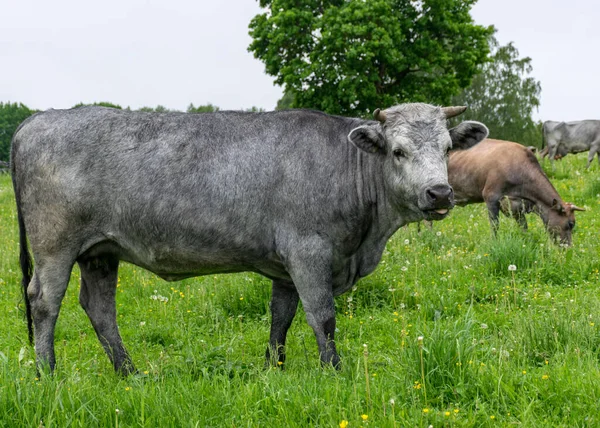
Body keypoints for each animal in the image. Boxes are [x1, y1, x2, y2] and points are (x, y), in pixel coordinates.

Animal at [11, 102, 488, 372]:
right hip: (55, 247)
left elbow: (281, 317)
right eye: (398, 151)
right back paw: (47, 373)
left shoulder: (286, 266)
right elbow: (323, 316)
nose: (439, 192)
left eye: (447, 148)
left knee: (100, 310)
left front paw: (274, 369)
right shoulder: (308, 251)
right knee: (44, 304)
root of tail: (38, 119)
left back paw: (129, 373)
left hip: (100, 252)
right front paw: (334, 371)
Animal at [448, 137, 584, 244]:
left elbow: (524, 227)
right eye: (571, 223)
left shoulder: (519, 207)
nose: (568, 247)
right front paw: (494, 243)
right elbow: (495, 225)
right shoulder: (491, 196)